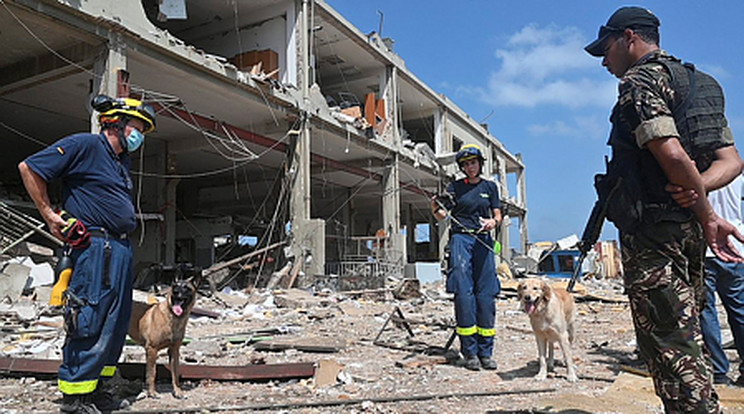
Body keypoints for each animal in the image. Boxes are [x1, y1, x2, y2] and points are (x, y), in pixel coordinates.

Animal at [129, 266, 202, 400]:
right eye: (174, 286)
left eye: (186, 288)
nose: (176, 292)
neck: (173, 317)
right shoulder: (152, 349)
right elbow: (152, 373)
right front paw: (152, 393)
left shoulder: (174, 350)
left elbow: (175, 374)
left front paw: (178, 392)